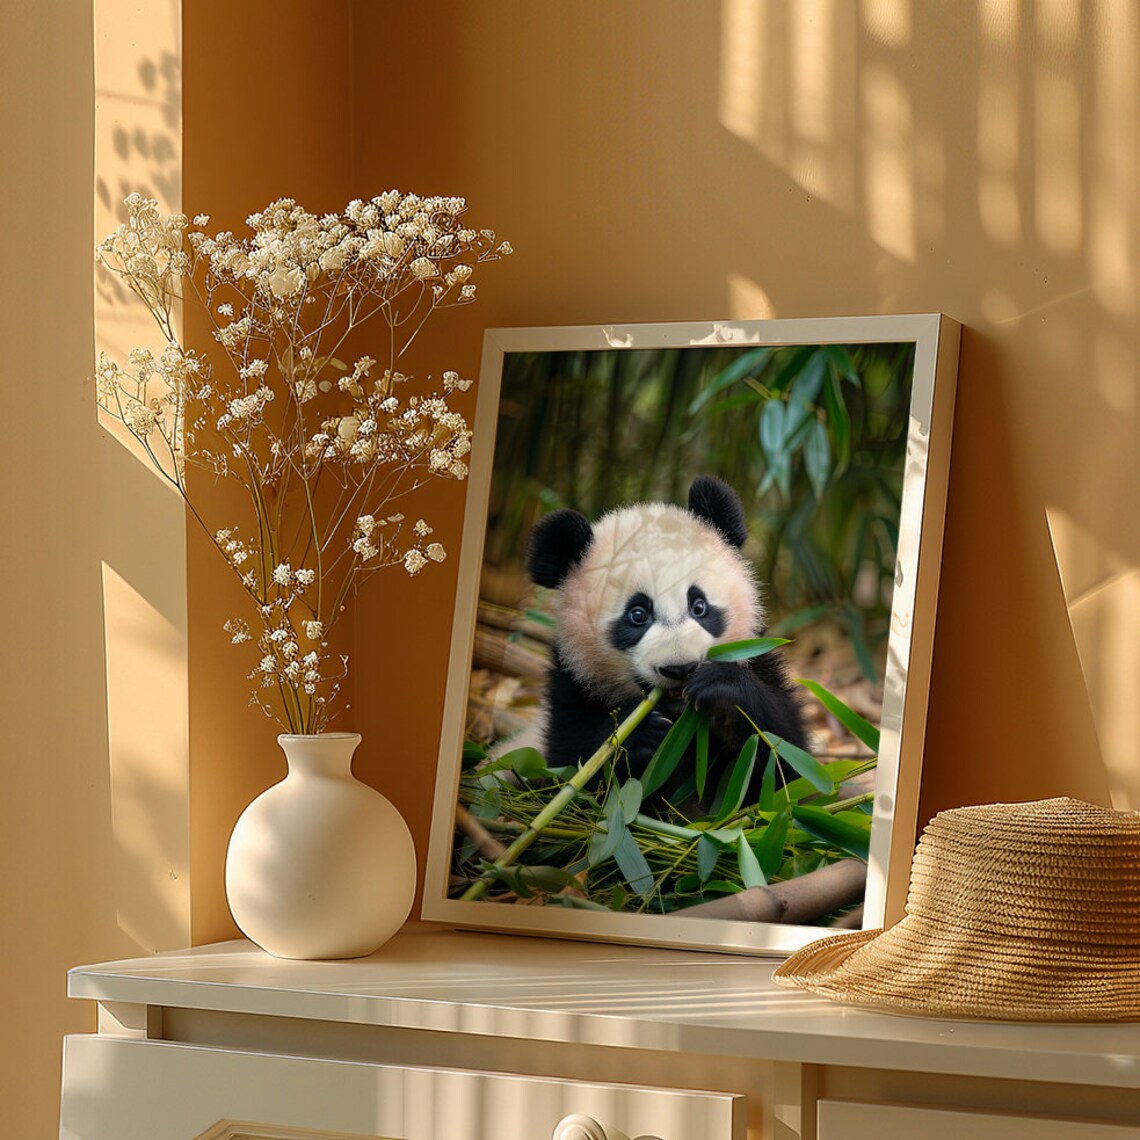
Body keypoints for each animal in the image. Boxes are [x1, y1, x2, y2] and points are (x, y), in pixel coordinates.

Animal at [525, 474, 808, 805]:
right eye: (637, 615)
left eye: (699, 606)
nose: (680, 668)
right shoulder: (571, 687)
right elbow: (570, 770)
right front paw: (639, 734)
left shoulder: (756, 658)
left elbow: (785, 765)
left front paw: (723, 690)